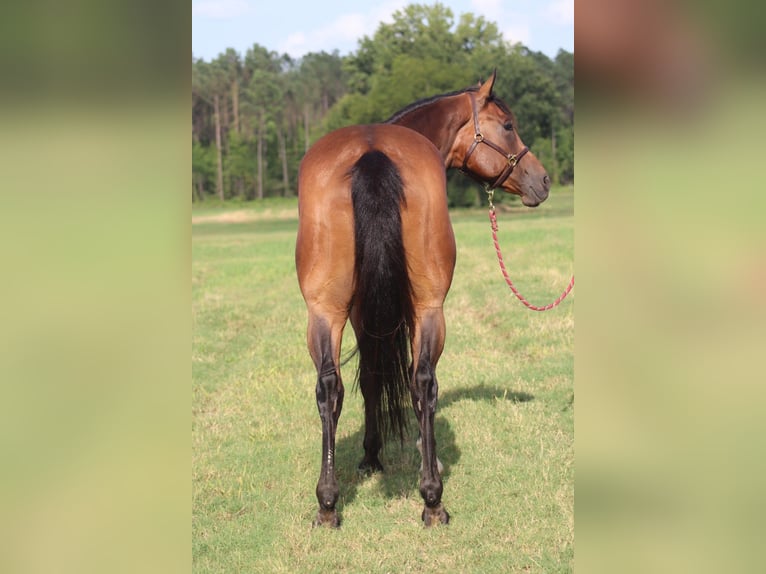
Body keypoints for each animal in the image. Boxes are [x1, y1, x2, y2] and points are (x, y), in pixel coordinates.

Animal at [295, 71, 551, 527]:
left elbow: (373, 379)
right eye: (508, 125)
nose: (543, 181)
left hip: (343, 311)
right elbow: (377, 380)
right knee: (411, 383)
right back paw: (421, 498)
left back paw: (347, 502)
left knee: (352, 386)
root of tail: (373, 153)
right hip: (412, 309)